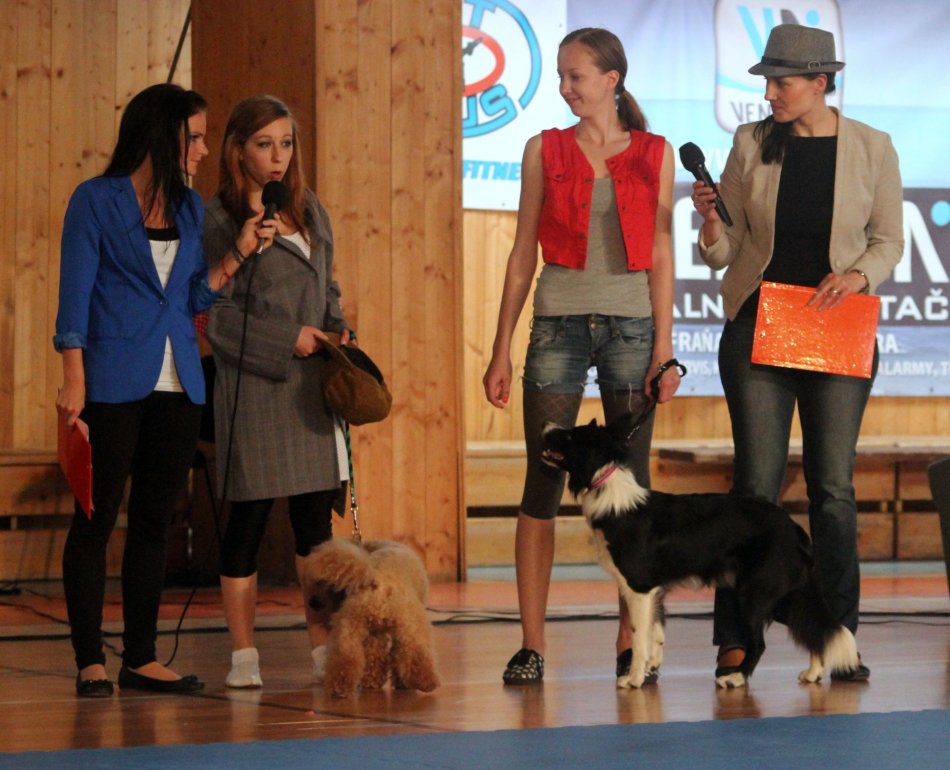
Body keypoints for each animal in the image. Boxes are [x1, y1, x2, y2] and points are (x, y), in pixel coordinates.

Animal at [302, 537, 440, 698]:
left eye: (324, 582)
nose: (312, 602)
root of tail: (375, 579)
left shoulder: (377, 632)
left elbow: (380, 657)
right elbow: (399, 655)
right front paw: (402, 683)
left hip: (349, 629)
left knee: (345, 658)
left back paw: (341, 687)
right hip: (412, 626)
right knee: (417, 655)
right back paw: (427, 683)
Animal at [540, 412, 860, 689]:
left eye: (568, 436)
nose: (546, 424)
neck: (606, 487)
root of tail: (794, 529)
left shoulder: (639, 587)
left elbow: (639, 636)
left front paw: (634, 679)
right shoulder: (655, 589)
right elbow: (656, 632)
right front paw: (651, 668)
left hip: (756, 593)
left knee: (761, 642)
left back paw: (736, 677)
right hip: (781, 594)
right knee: (812, 626)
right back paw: (814, 672)